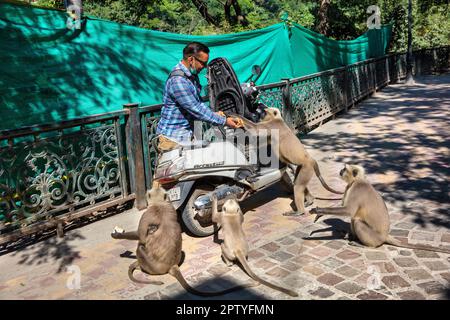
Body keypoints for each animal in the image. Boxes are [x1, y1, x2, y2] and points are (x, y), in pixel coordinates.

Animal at [110, 181, 256, 296]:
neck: (160, 204)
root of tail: (172, 266)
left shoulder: (147, 213)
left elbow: (141, 236)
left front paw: (117, 235)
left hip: (152, 266)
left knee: (140, 247)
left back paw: (141, 266)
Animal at [310, 164, 450, 254]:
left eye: (344, 169)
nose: (340, 170)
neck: (357, 180)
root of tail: (384, 236)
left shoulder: (357, 188)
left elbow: (349, 210)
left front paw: (318, 211)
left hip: (374, 238)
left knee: (357, 221)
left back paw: (366, 246)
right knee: (354, 219)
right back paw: (352, 237)